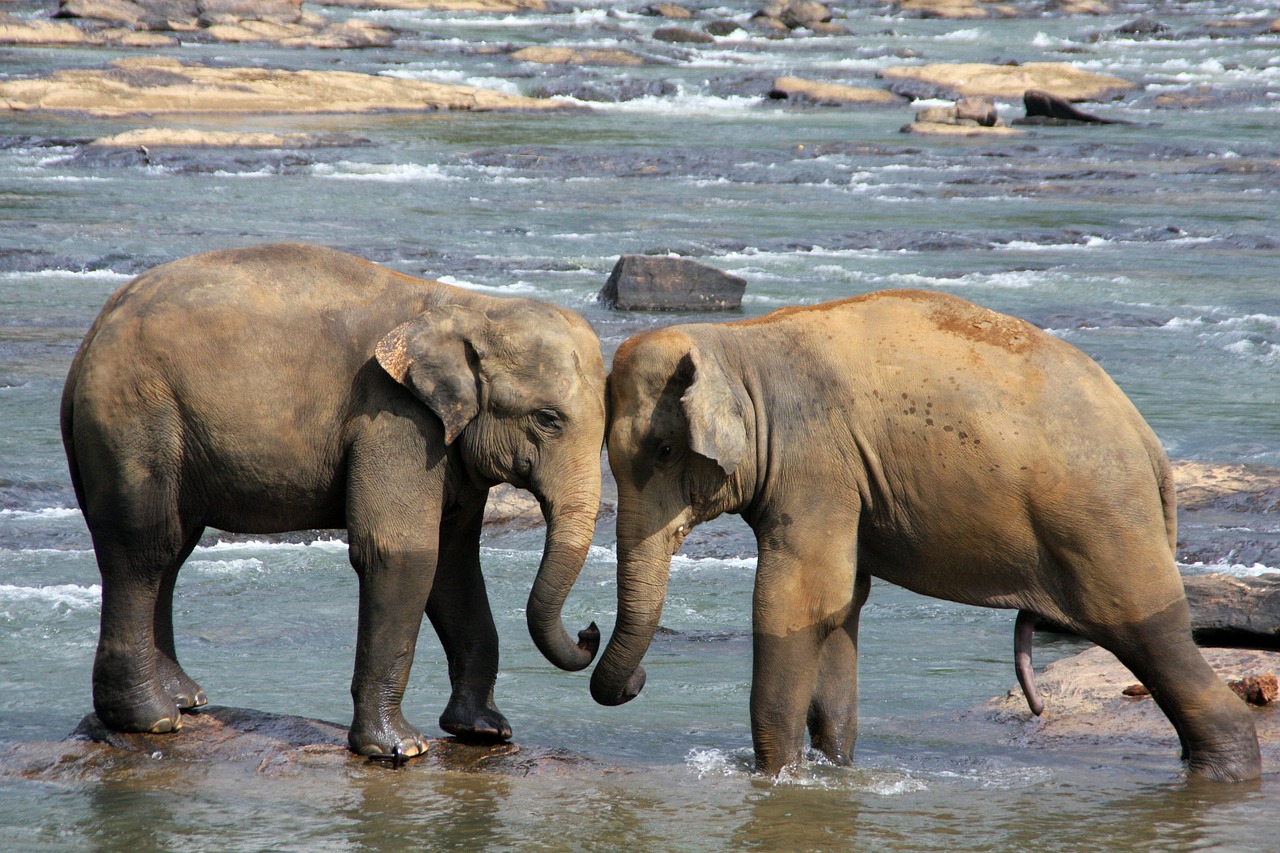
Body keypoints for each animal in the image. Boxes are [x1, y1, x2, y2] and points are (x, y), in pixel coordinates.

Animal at [57, 240, 601, 758]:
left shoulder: (448, 448)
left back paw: (185, 700)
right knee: (144, 547)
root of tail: (94, 332)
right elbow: (403, 553)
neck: (475, 306)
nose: (589, 632)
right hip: (134, 416)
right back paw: (151, 720)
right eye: (548, 419)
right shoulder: (394, 417)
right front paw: (401, 749)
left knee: (173, 549)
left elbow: (453, 563)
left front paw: (485, 731)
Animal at [593, 289, 1264, 778]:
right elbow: (842, 607)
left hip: (1104, 520)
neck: (736, 344)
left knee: (1148, 632)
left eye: (664, 449)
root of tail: (1149, 442)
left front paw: (777, 778)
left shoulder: (816, 464)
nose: (636, 678)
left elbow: (797, 600)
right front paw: (834, 772)